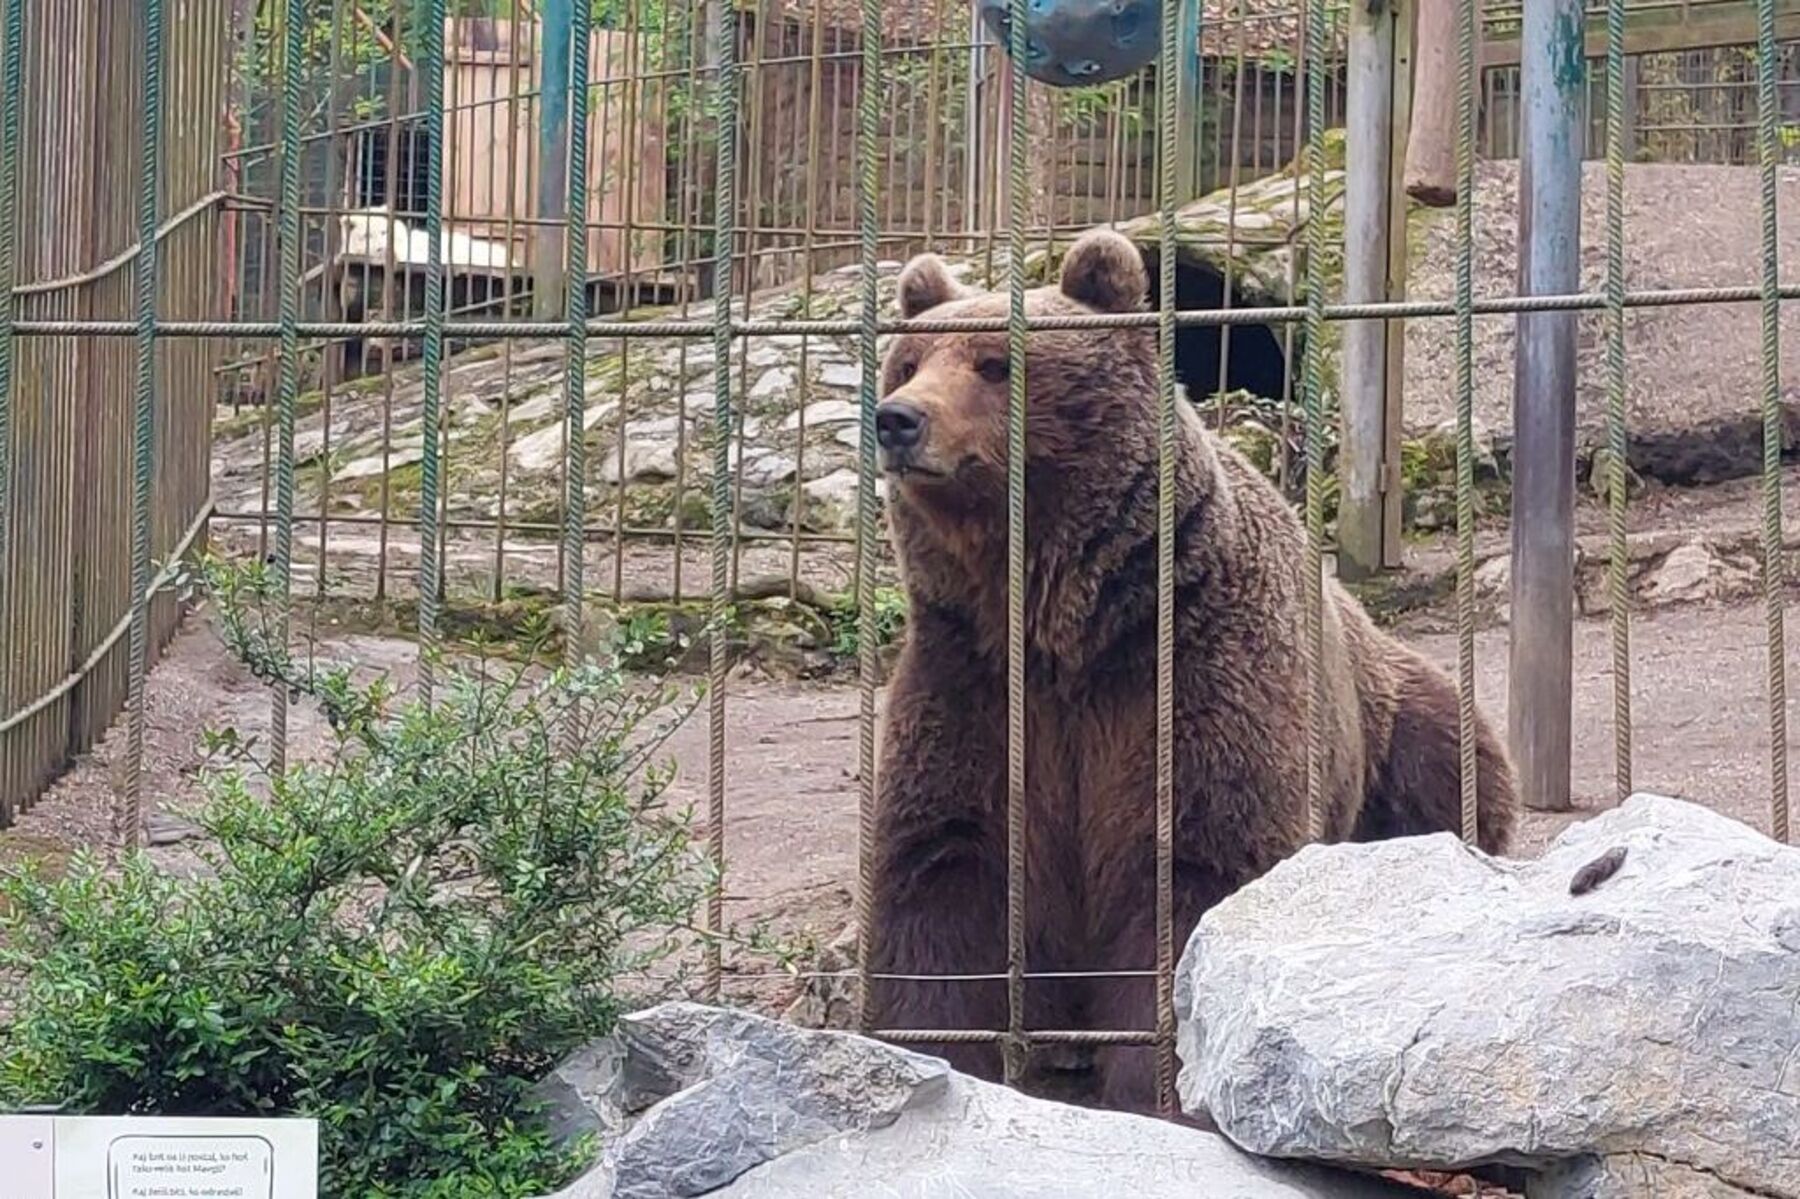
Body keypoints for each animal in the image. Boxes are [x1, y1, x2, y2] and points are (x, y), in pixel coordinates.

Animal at [862, 228, 1517, 1115]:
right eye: (907, 362)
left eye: (995, 363)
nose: (899, 419)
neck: (1061, 621)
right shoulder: (974, 683)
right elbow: (942, 872)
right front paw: (934, 1054)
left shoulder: (1188, 676)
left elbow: (1195, 865)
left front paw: (1161, 1084)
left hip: (1398, 727)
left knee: (1450, 769)